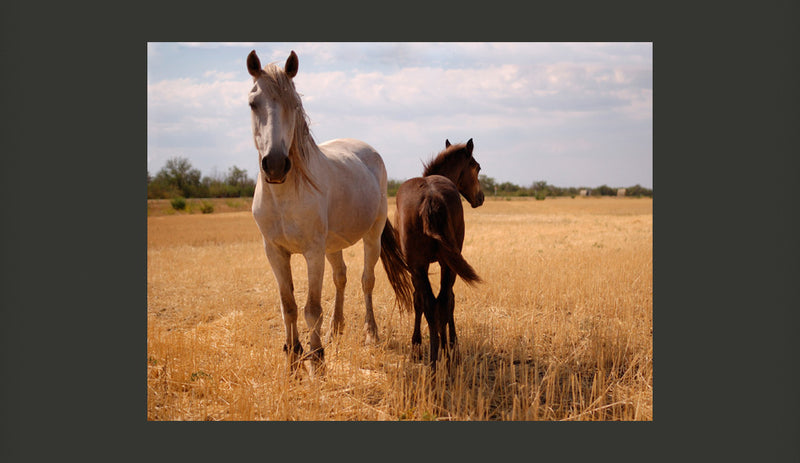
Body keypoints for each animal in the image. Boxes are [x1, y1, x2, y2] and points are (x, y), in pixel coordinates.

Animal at [247, 51, 412, 376]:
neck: (285, 196)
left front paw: (317, 360)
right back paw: (336, 329)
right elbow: (288, 306)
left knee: (366, 280)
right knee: (341, 277)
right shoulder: (274, 252)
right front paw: (292, 358)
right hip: (332, 246)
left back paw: (370, 333)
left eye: (294, 104)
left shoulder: (312, 252)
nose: (275, 165)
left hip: (371, 236)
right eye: (252, 103)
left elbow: (311, 308)